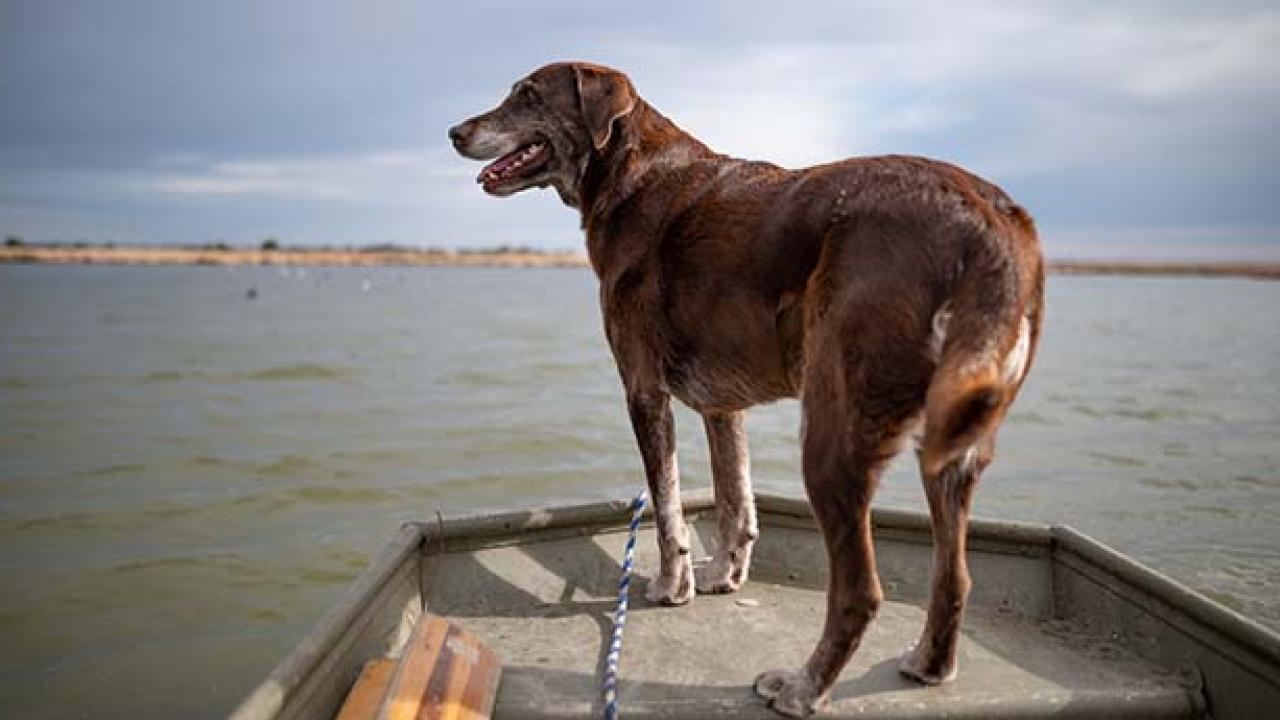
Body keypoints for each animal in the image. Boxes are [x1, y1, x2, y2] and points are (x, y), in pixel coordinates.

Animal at [450, 63, 1039, 717]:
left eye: (527, 95)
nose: (454, 132)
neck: (627, 174)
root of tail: (986, 218)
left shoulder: (644, 390)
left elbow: (668, 507)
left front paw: (672, 586)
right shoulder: (722, 404)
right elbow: (735, 499)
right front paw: (721, 577)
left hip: (834, 434)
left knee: (860, 590)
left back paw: (804, 687)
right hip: (953, 443)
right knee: (954, 574)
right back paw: (927, 666)